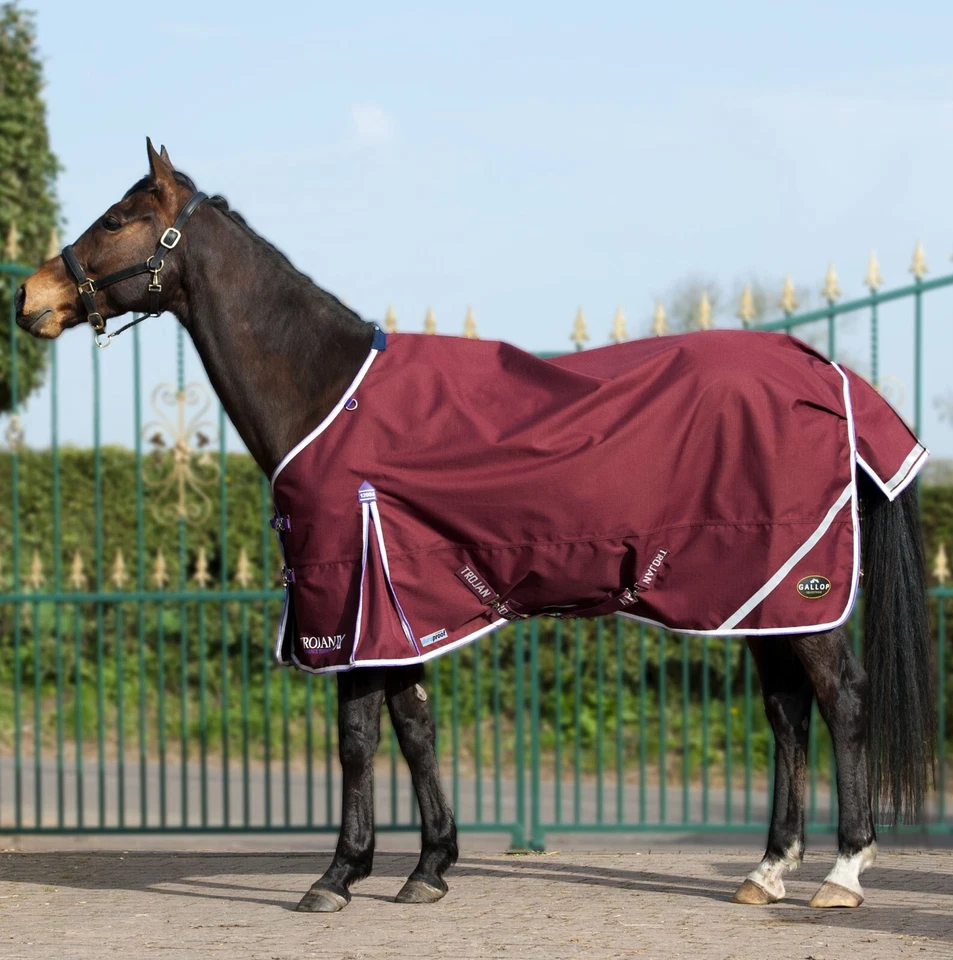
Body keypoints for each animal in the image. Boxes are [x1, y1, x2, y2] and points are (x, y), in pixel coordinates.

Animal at [15, 139, 935, 912]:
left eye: (116, 219)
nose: (30, 296)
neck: (327, 392)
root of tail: (823, 373)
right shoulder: (400, 607)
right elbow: (416, 729)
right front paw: (427, 867)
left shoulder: (349, 599)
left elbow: (357, 739)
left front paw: (338, 875)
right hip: (758, 596)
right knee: (786, 713)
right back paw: (767, 869)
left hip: (801, 590)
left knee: (842, 700)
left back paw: (843, 874)